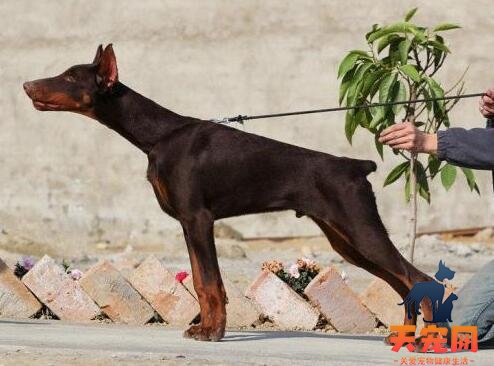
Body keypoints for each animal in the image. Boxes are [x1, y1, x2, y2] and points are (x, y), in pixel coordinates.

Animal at [23, 44, 432, 342]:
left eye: (70, 76)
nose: (26, 85)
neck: (158, 135)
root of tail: (357, 166)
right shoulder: (189, 224)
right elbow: (201, 281)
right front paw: (207, 328)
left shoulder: (198, 219)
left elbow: (209, 282)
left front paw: (212, 332)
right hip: (344, 240)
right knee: (402, 281)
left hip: (360, 228)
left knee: (417, 278)